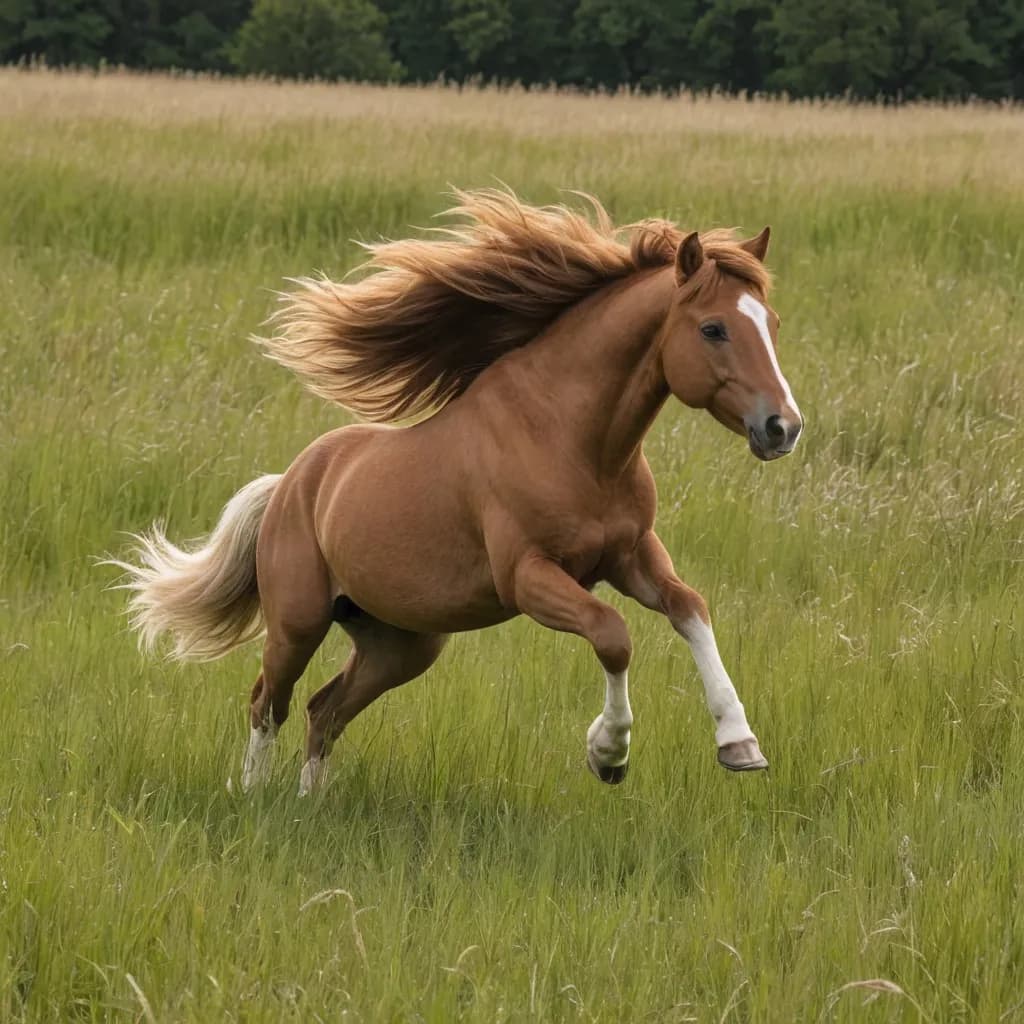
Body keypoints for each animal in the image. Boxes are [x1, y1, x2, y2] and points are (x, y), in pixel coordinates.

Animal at [113, 189, 802, 796]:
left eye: (770, 321)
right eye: (713, 329)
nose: (782, 427)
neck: (571, 439)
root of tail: (291, 483)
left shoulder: (632, 556)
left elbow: (690, 607)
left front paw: (740, 745)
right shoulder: (528, 577)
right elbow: (612, 633)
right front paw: (608, 754)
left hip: (400, 644)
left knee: (323, 710)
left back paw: (310, 804)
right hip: (298, 623)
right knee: (267, 702)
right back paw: (255, 796)